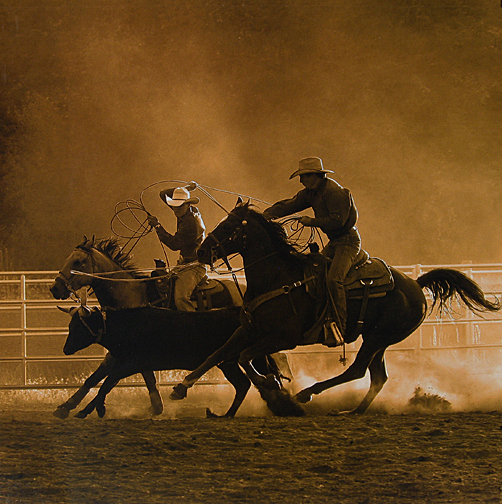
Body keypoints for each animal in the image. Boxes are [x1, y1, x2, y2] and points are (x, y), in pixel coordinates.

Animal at [171, 201, 500, 418]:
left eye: (228, 226)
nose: (201, 251)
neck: (278, 276)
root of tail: (416, 285)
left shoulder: (283, 338)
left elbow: (245, 357)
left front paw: (273, 386)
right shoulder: (248, 328)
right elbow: (218, 353)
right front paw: (181, 387)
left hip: (379, 337)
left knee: (357, 370)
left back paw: (307, 393)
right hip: (377, 339)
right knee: (377, 377)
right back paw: (354, 411)